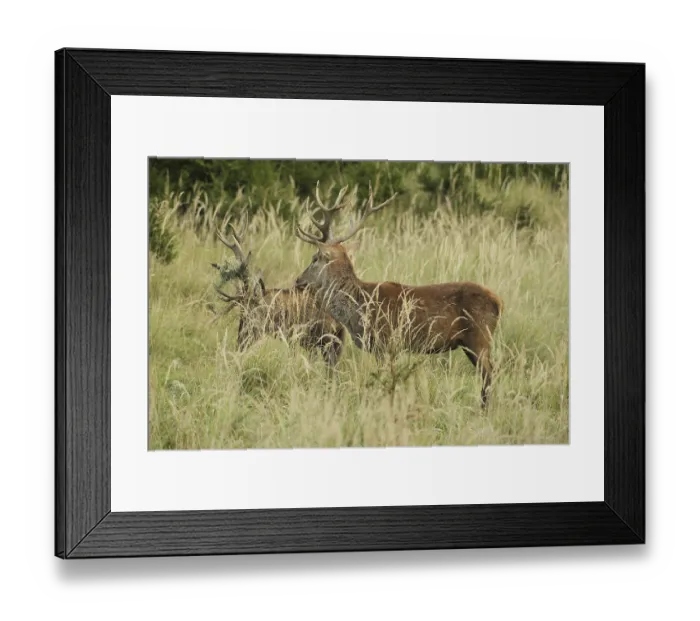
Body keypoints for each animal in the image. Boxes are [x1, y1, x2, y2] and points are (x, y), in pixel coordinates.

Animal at [293, 183, 504, 407]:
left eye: (315, 258)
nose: (298, 281)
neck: (358, 307)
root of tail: (499, 301)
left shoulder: (384, 342)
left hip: (479, 336)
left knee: (489, 373)